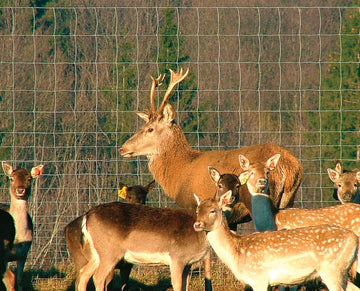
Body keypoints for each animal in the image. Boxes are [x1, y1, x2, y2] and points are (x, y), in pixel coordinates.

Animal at [0, 162, 43, 291]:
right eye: (11, 178)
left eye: (29, 179)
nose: (20, 189)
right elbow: (10, 279)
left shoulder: (23, 254)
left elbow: (19, 279)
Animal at [120, 67, 304, 227]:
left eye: (150, 129)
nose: (122, 148)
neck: (180, 172)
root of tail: (290, 168)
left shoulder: (192, 205)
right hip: (289, 200)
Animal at [194, 192, 360, 291]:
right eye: (197, 210)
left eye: (213, 210)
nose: (197, 224)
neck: (237, 252)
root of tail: (354, 239)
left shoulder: (259, 277)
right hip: (340, 270)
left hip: (332, 269)